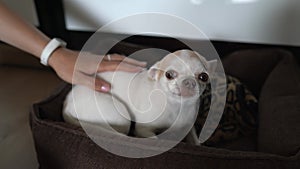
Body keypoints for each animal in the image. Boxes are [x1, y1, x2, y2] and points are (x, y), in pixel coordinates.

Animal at [62, 49, 216, 143]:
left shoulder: (188, 128)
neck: (176, 106)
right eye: (169, 75)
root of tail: (67, 103)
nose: (189, 81)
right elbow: (154, 139)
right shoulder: (143, 129)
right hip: (120, 117)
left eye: (204, 76)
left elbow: (195, 141)